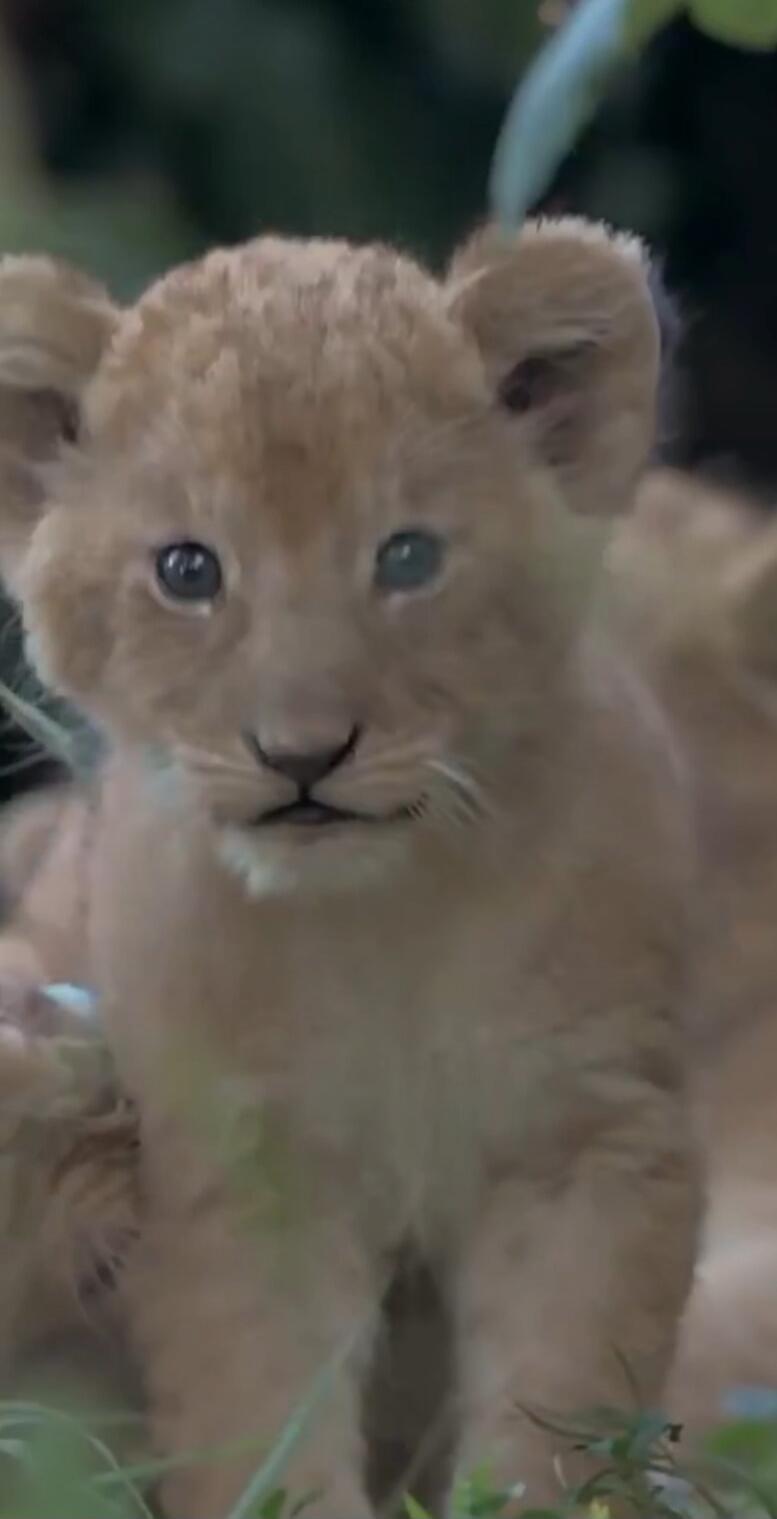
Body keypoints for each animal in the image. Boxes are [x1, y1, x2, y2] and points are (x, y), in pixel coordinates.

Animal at [0, 223, 700, 1518]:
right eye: (188, 569)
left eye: (407, 557)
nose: (303, 755)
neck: (388, 917)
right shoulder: (237, 1172)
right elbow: (262, 1417)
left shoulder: (589, 1135)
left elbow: (559, 1402)